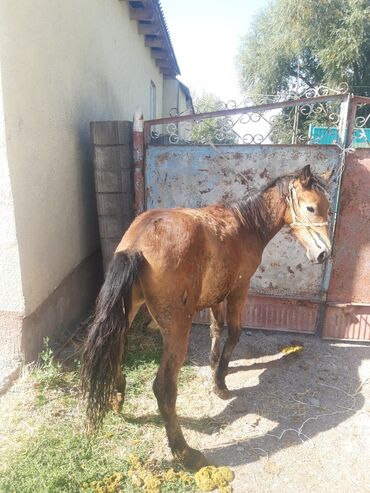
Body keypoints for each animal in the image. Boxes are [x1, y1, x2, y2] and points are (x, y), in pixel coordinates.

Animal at [81, 164, 330, 468]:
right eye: (310, 207)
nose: (324, 254)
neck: (245, 225)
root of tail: (137, 245)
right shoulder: (238, 291)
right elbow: (233, 333)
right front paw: (220, 383)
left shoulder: (216, 297)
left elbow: (216, 329)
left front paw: (213, 369)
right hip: (177, 329)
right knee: (164, 388)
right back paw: (184, 452)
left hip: (128, 313)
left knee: (116, 352)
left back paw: (117, 399)